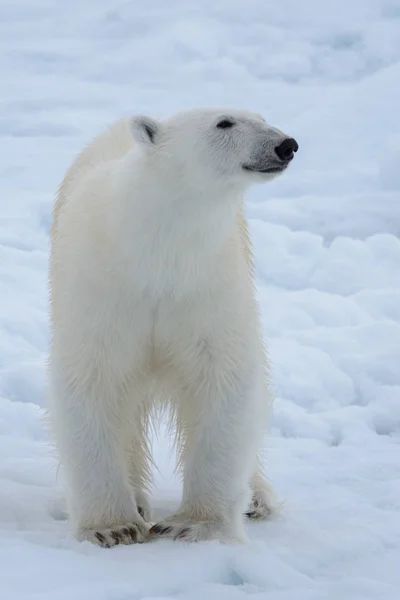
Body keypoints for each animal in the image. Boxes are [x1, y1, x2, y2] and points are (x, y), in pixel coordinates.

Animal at [47, 105, 296, 548]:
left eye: (264, 117)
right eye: (224, 122)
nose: (286, 145)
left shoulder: (207, 283)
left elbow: (224, 377)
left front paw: (195, 524)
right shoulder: (101, 288)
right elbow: (91, 380)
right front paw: (112, 527)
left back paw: (257, 498)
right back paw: (138, 500)